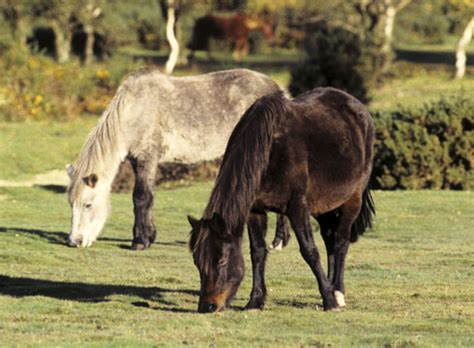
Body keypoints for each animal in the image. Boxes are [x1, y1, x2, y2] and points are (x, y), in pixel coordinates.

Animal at [65, 66, 286, 249]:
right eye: (71, 204)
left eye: (88, 204)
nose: (75, 241)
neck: (133, 111)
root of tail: (277, 89)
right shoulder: (138, 161)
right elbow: (149, 197)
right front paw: (149, 236)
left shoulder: (147, 158)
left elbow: (141, 197)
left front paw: (139, 241)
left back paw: (279, 242)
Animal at [187, 87, 376, 312]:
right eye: (197, 262)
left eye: (222, 261)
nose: (207, 306)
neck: (269, 150)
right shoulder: (255, 210)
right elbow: (258, 252)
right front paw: (255, 301)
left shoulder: (297, 207)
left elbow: (310, 251)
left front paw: (329, 301)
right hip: (324, 207)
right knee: (330, 240)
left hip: (351, 200)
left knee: (340, 242)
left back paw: (337, 292)